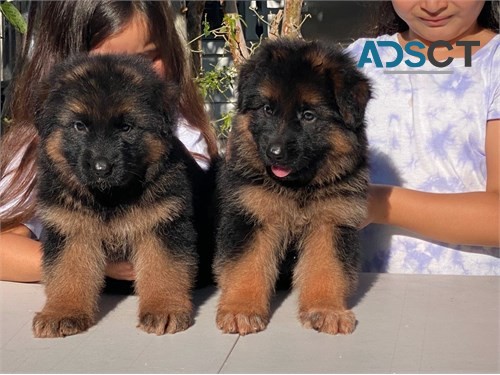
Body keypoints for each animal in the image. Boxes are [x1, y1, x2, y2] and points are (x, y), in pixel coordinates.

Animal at [30, 53, 199, 338]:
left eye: (126, 127)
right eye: (79, 126)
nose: (102, 168)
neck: (109, 198)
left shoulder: (162, 223)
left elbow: (164, 268)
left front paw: (164, 309)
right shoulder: (71, 227)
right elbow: (67, 271)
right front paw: (62, 312)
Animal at [213, 39, 370, 336]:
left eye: (308, 116)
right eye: (267, 109)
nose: (275, 154)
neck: (298, 188)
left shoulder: (330, 223)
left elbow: (326, 269)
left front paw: (326, 310)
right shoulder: (252, 217)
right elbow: (246, 266)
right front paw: (241, 310)